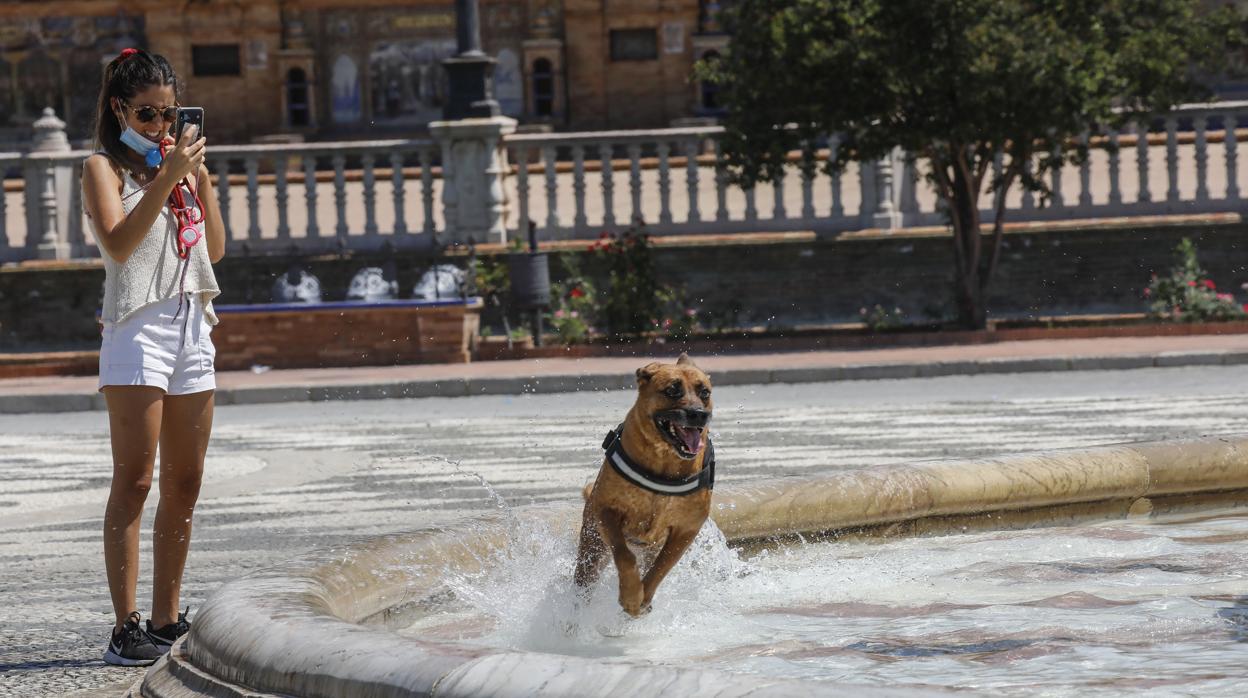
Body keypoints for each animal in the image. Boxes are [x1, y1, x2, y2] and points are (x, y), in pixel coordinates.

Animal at [571, 354, 713, 616]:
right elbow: (624, 555)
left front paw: (643, 598)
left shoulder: (686, 529)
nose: (698, 414)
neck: (664, 460)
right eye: (672, 390)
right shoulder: (606, 510)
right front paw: (630, 595)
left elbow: (660, 569)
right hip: (592, 545)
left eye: (704, 392)